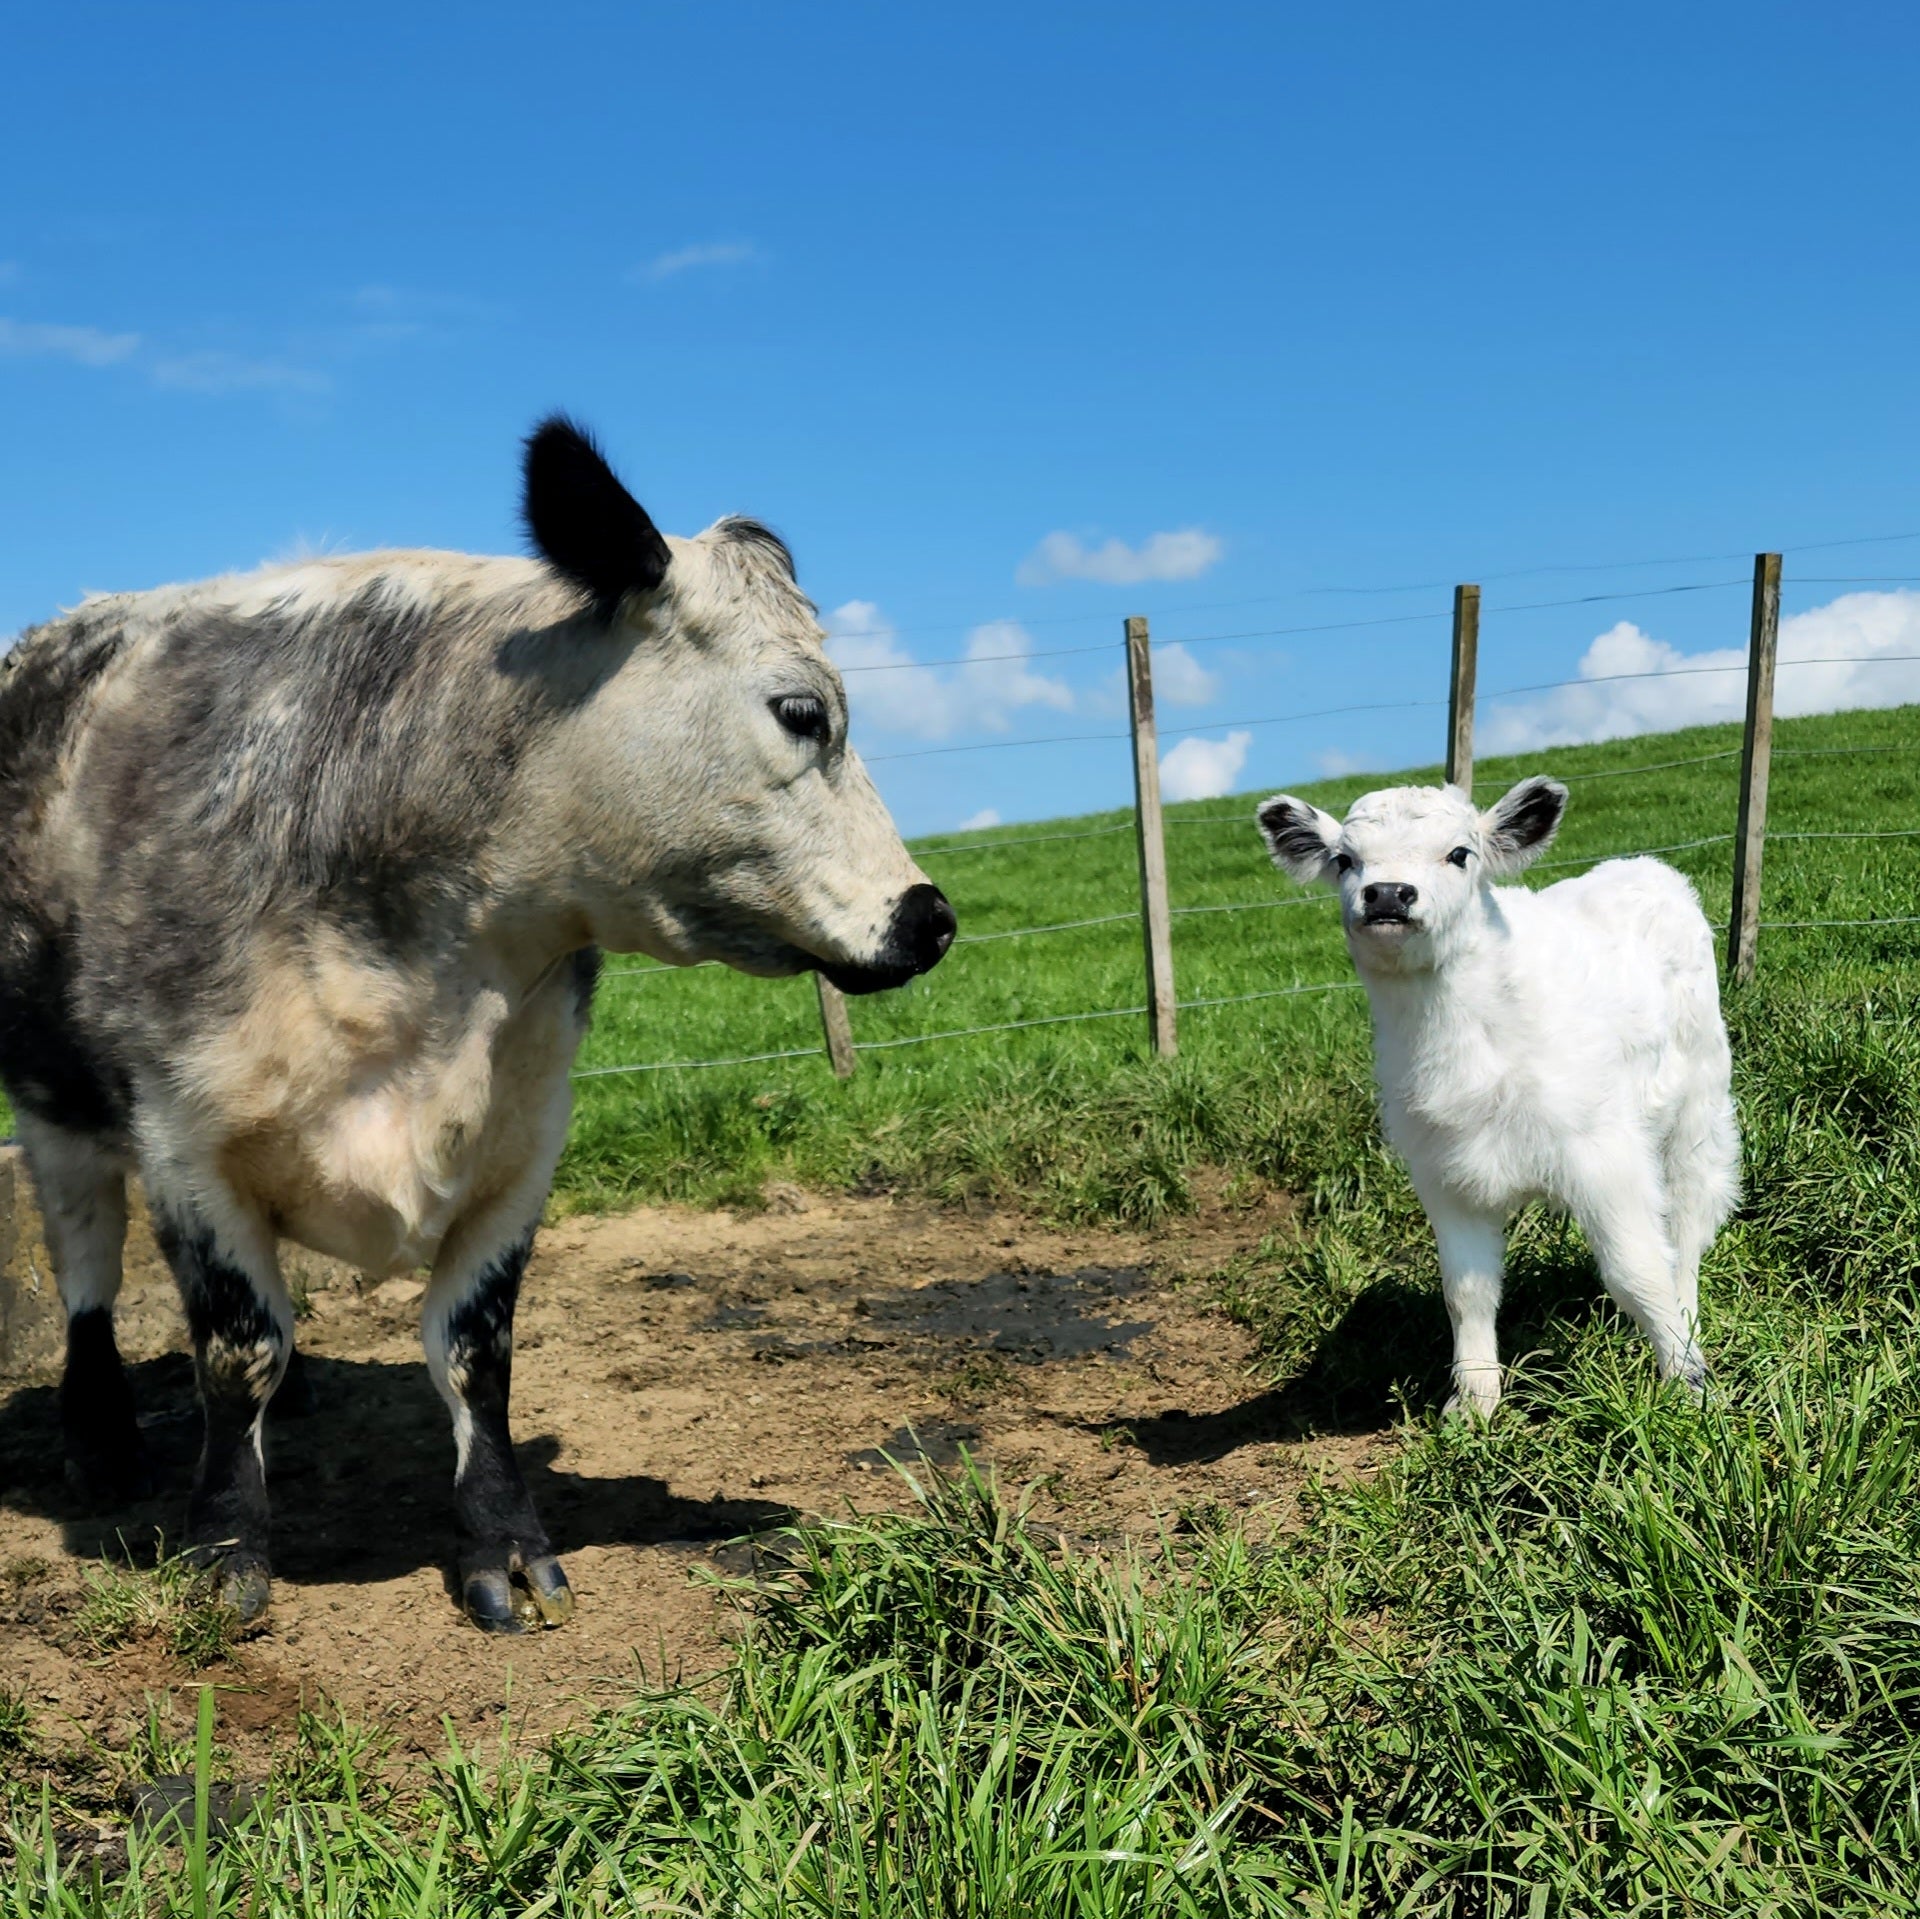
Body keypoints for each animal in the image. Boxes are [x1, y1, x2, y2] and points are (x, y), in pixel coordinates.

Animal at [0, 420, 956, 1636]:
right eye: (804, 711)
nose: (930, 917)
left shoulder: (525, 1133)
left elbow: (474, 1350)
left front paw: (503, 1540)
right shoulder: (183, 1139)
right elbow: (234, 1348)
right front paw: (222, 1547)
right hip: (54, 1104)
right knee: (85, 1259)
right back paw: (102, 1440)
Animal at [1259, 772, 1743, 1421]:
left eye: (1460, 854)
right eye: (1344, 860)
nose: (1388, 895)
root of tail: (1644, 867)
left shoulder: (1605, 1154)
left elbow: (1637, 1269)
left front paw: (1689, 1386)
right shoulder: (1444, 1175)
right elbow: (1466, 1290)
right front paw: (1473, 1402)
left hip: (1699, 1108)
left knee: (1688, 1227)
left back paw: (1688, 1319)